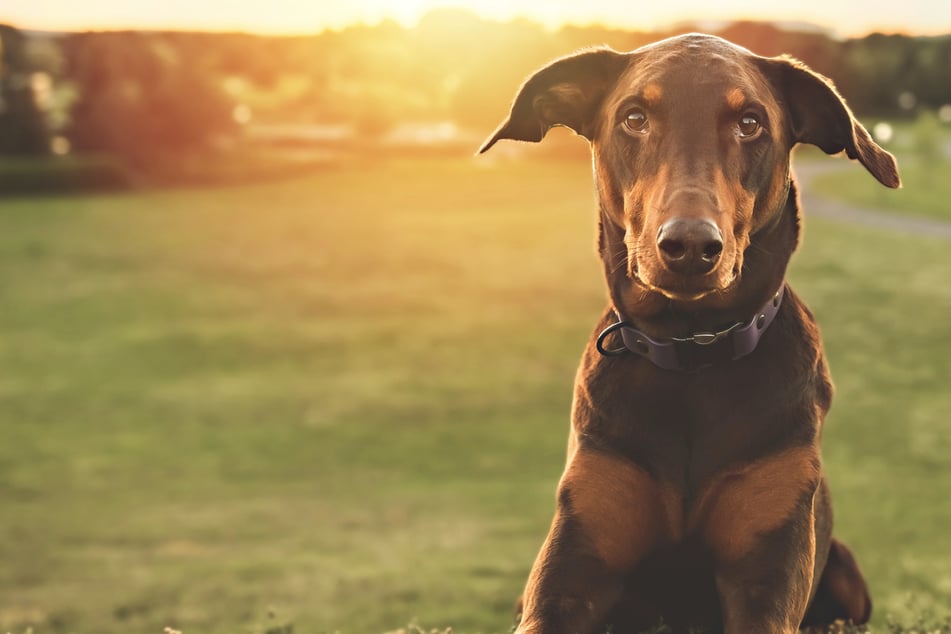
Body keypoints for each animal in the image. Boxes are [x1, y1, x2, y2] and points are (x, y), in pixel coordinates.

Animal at [480, 34, 904, 632]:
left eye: (750, 122)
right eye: (634, 118)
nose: (689, 246)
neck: (691, 352)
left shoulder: (767, 565)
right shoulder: (572, 561)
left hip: (844, 566)